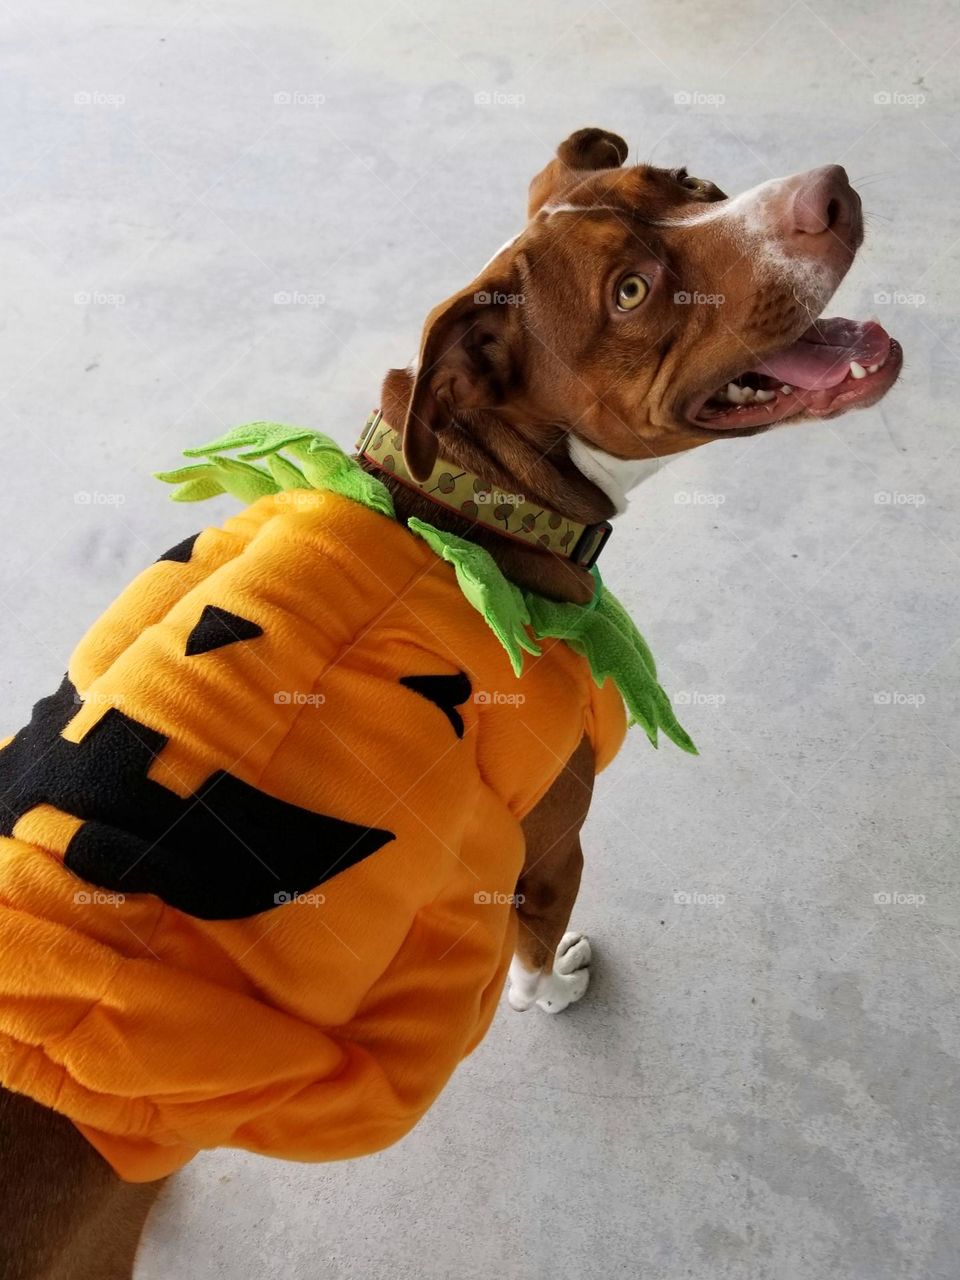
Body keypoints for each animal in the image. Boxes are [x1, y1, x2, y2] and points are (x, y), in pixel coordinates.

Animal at [0, 127, 901, 1280]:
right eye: (632, 291)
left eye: (690, 182)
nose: (826, 195)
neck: (468, 501)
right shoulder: (546, 844)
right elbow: (531, 954)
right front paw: (553, 989)